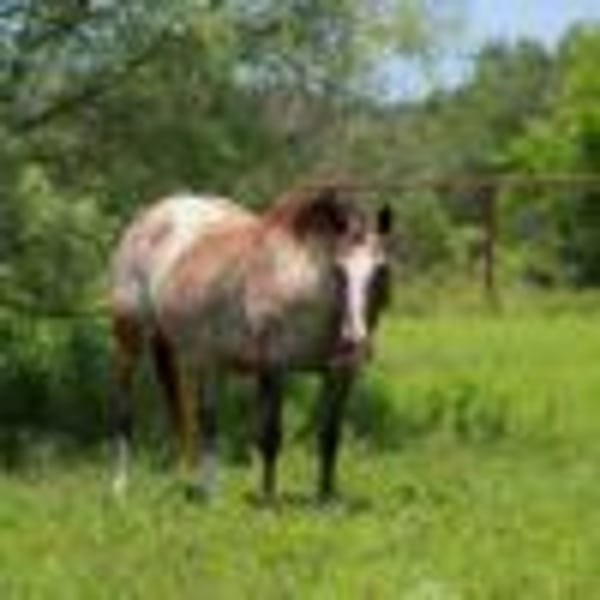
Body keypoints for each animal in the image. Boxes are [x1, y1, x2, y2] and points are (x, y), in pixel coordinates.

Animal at [109, 184, 393, 501]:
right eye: (339, 270)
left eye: (381, 270)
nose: (356, 341)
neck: (300, 278)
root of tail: (150, 217)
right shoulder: (274, 368)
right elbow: (270, 436)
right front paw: (268, 499)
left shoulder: (340, 374)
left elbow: (329, 436)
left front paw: (326, 497)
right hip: (129, 338)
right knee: (125, 413)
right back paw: (120, 487)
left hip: (208, 359)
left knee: (206, 421)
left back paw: (210, 493)